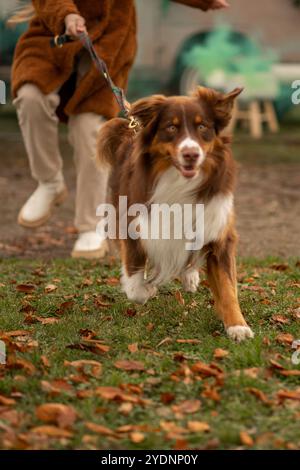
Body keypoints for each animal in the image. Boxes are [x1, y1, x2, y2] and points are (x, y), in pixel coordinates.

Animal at [97, 85, 254, 342]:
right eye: (171, 127)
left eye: (203, 127)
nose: (191, 154)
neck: (180, 183)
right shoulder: (132, 224)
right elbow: (135, 280)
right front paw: (146, 288)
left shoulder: (218, 230)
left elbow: (228, 286)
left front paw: (237, 325)